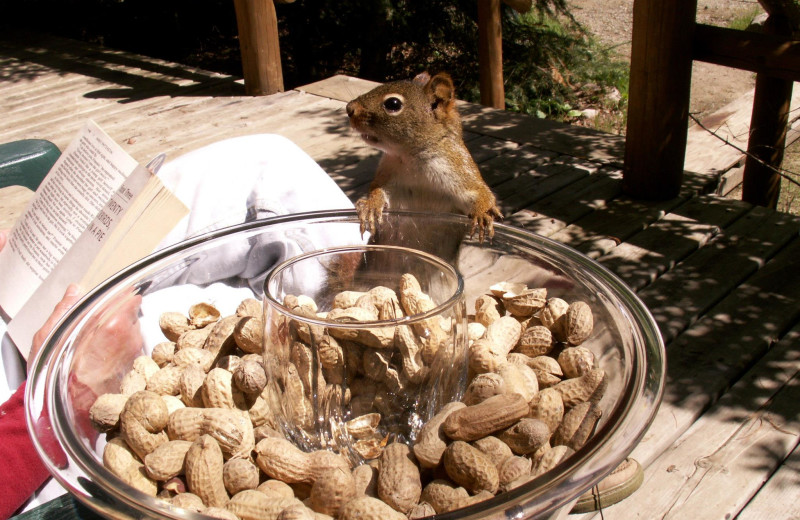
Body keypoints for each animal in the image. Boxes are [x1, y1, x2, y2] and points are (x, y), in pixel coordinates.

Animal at [344, 71, 500, 242]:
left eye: (393, 104)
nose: (349, 108)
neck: (412, 157)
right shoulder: (387, 174)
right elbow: (378, 189)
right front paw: (371, 205)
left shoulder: (460, 167)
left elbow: (480, 192)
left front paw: (482, 213)